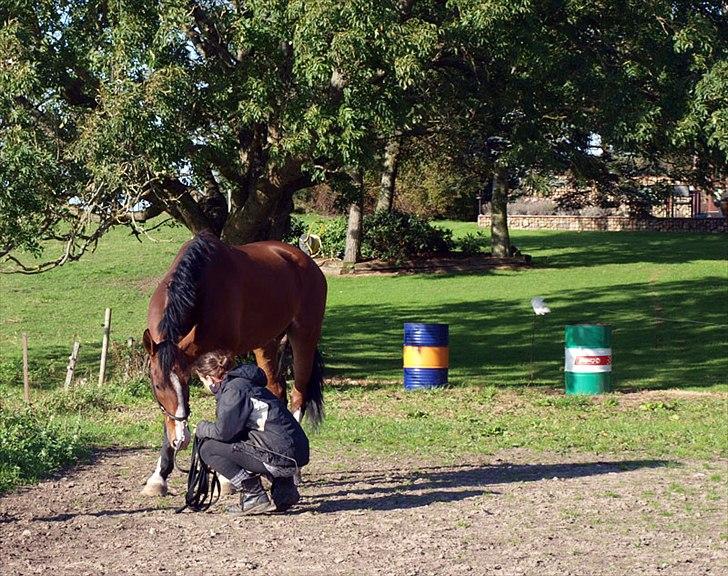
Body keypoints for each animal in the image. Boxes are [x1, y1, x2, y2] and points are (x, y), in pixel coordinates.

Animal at [140, 230, 328, 496]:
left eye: (185, 381)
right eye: (157, 386)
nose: (182, 440)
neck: (201, 287)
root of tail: (304, 259)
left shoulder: (224, 358)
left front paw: (225, 478)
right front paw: (158, 477)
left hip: (304, 337)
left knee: (298, 395)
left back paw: (295, 472)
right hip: (266, 343)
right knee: (276, 390)